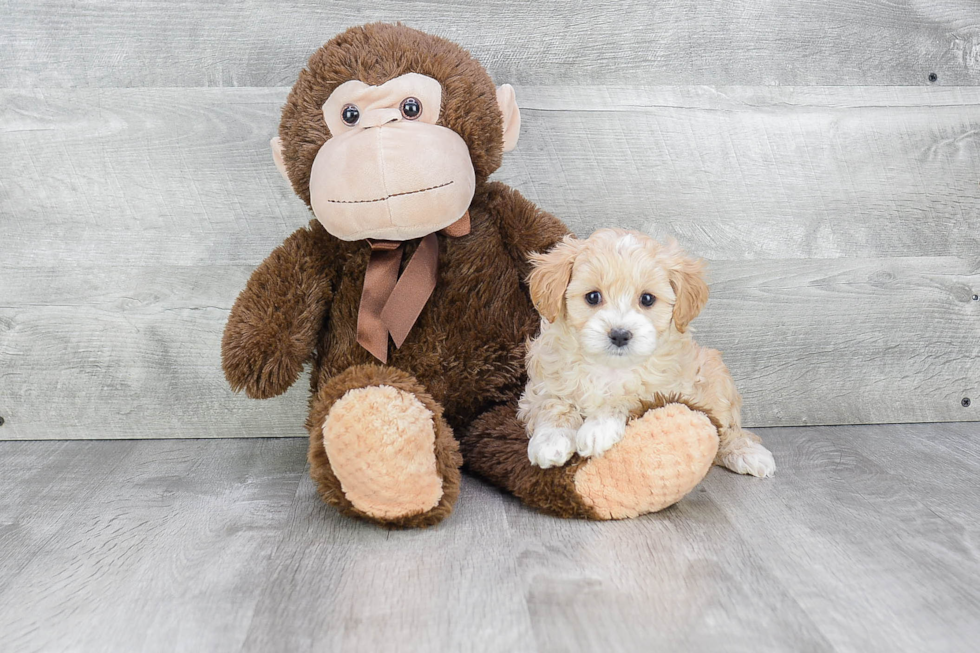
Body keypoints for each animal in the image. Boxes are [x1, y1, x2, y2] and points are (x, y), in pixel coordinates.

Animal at [516, 230, 776, 478]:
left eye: (647, 299)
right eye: (593, 297)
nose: (620, 334)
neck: (608, 368)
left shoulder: (665, 391)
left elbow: (629, 397)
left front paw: (597, 429)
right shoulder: (539, 387)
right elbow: (554, 404)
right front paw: (551, 440)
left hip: (716, 377)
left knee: (727, 429)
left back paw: (747, 454)